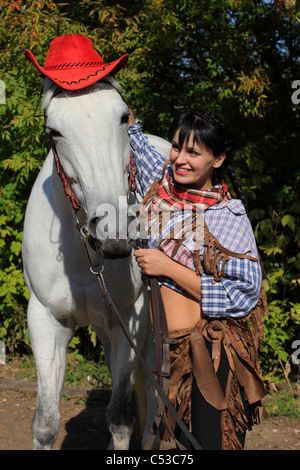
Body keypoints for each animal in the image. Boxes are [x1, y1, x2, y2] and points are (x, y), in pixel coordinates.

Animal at [22, 75, 170, 450]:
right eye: (53, 131)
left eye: (123, 117)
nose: (113, 230)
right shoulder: (46, 319)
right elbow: (45, 424)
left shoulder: (130, 321)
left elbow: (120, 418)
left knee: (154, 397)